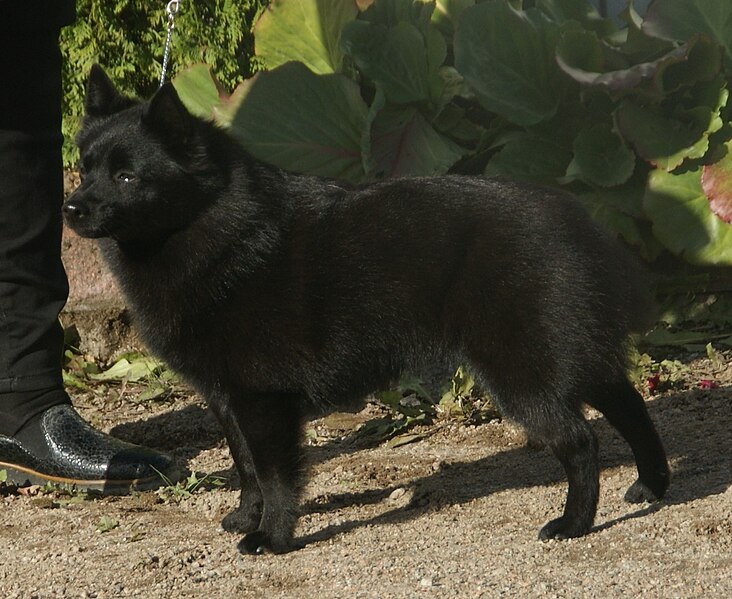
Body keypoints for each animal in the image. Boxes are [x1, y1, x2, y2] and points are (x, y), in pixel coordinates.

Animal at [63, 64, 668, 552]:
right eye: (85, 167)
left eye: (127, 175)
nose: (71, 208)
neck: (216, 231)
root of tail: (578, 219)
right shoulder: (226, 398)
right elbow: (245, 467)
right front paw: (245, 517)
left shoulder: (262, 399)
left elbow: (275, 476)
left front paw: (272, 537)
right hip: (566, 353)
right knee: (630, 404)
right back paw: (652, 485)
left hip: (523, 372)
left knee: (582, 442)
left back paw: (574, 524)